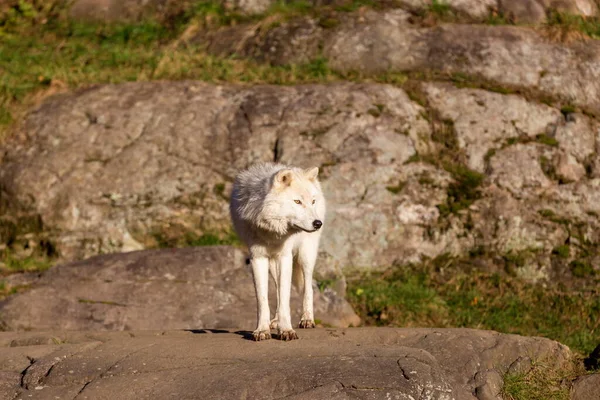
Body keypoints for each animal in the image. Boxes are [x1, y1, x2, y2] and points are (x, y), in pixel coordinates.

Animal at [230, 162, 326, 340]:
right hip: (272, 265)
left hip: (305, 256)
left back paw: (307, 319)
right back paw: (274, 321)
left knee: (308, 286)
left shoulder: (285, 256)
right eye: (297, 201)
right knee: (277, 290)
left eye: (312, 201)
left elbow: (286, 298)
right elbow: (263, 299)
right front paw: (262, 330)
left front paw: (286, 330)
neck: (272, 230)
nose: (318, 223)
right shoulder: (257, 258)